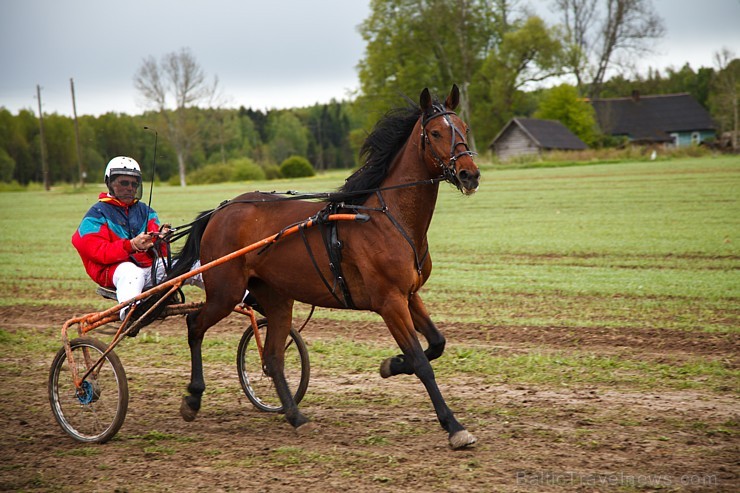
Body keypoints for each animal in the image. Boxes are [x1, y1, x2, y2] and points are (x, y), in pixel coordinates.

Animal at [174, 85, 486, 450]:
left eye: (464, 127)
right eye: (435, 133)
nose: (469, 173)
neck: (387, 218)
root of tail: (220, 211)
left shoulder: (409, 294)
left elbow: (437, 343)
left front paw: (392, 364)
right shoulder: (389, 302)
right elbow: (422, 362)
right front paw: (453, 426)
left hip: (277, 298)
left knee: (273, 358)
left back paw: (295, 416)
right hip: (226, 291)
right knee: (195, 325)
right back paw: (193, 398)